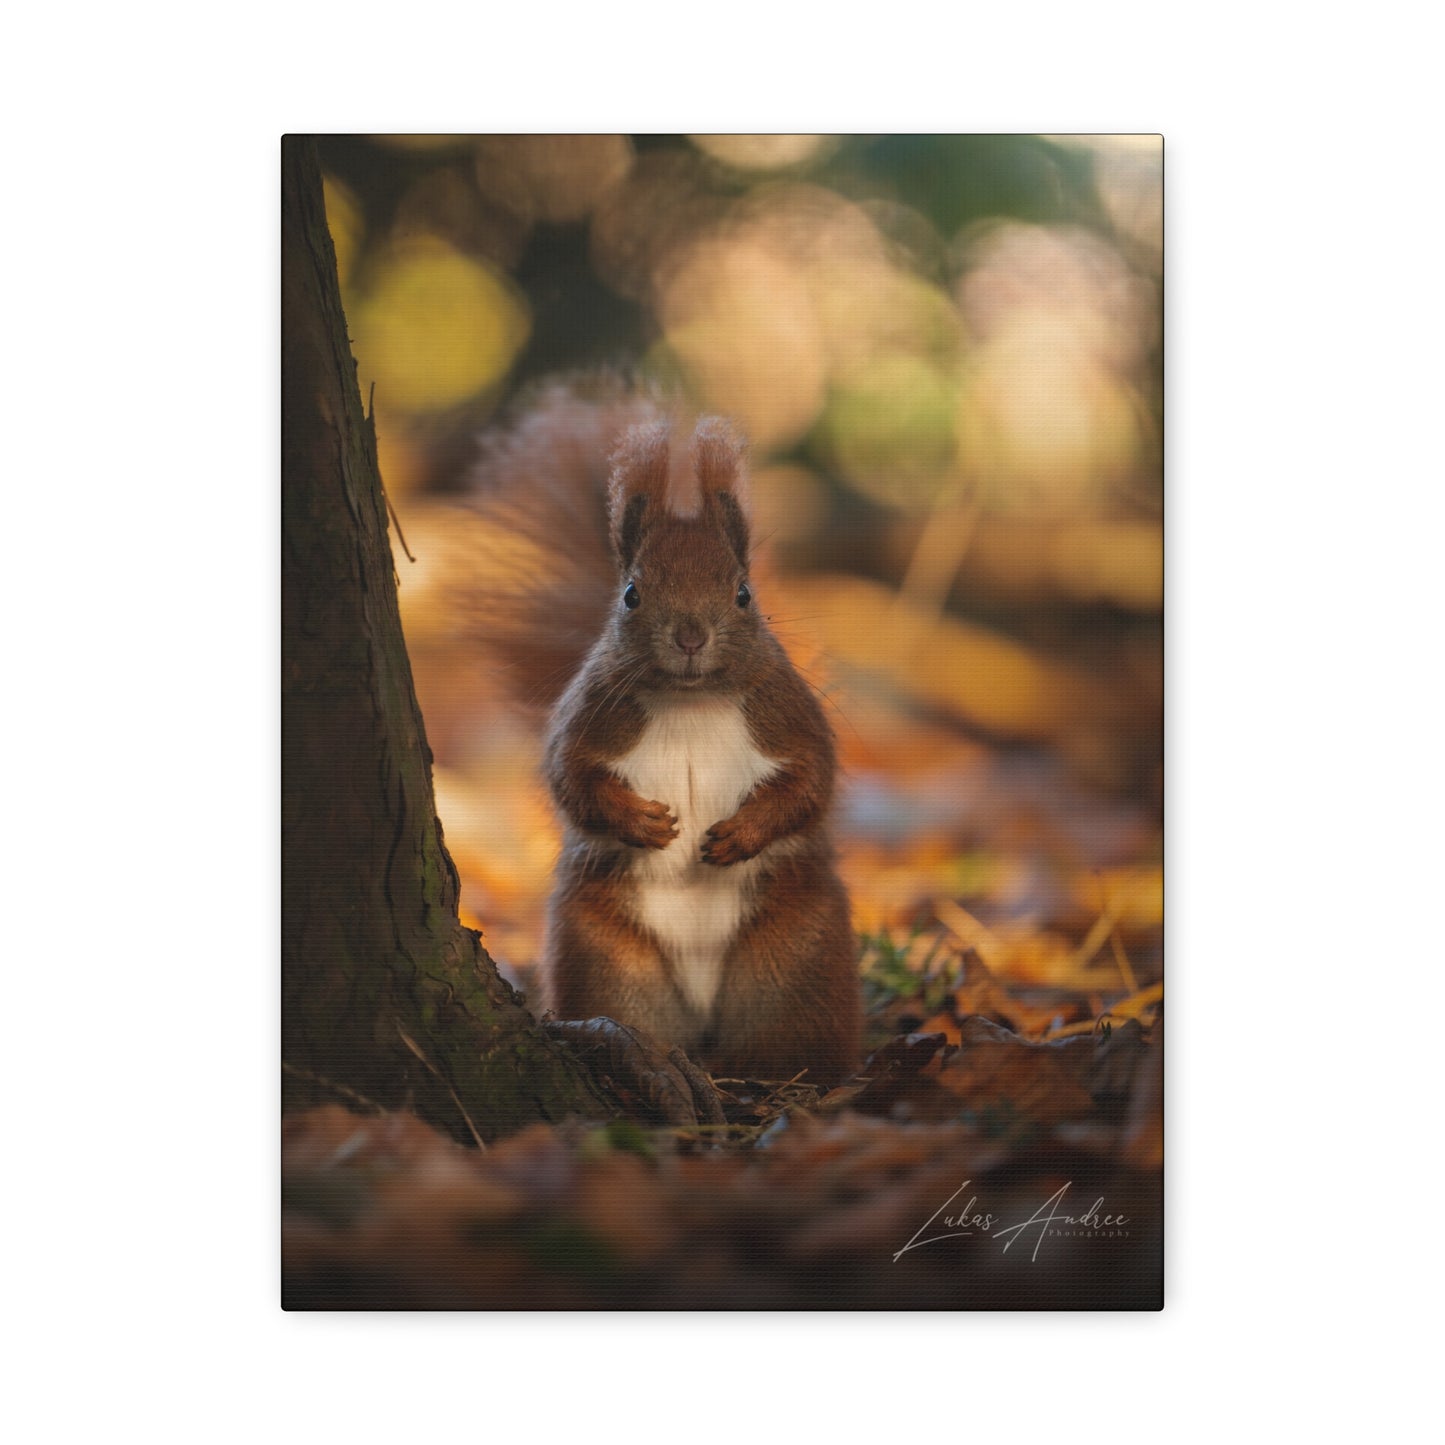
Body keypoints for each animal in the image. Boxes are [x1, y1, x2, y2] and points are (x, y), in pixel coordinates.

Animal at [463, 379, 861, 1086]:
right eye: (630, 594)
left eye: (743, 594)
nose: (690, 636)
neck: (691, 702)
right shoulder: (589, 715)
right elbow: (571, 778)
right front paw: (643, 823)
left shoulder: (787, 715)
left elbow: (813, 779)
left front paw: (740, 834)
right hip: (605, 962)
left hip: (796, 963)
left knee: (787, 1045)